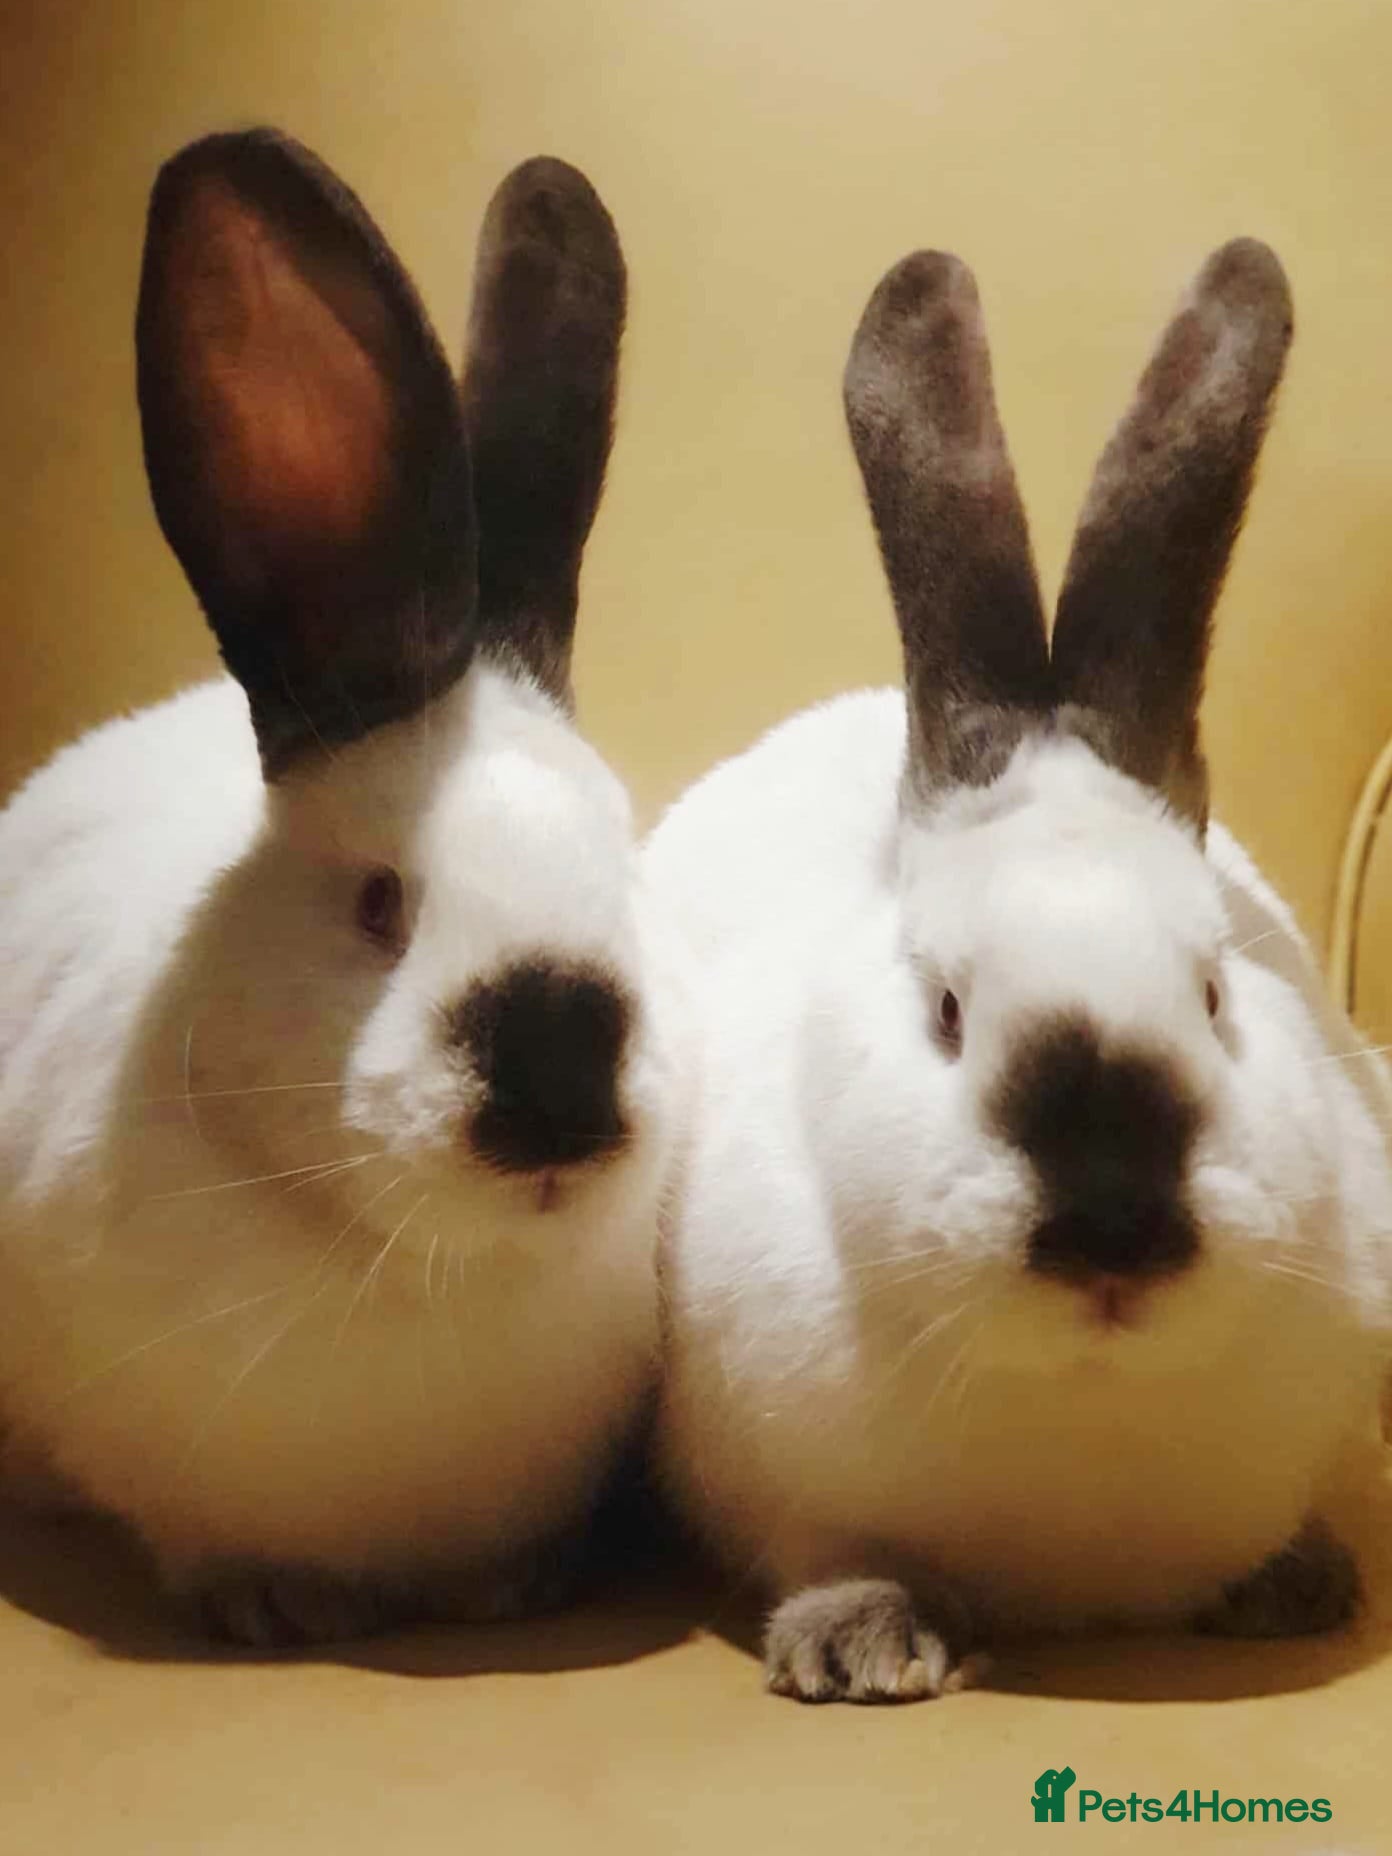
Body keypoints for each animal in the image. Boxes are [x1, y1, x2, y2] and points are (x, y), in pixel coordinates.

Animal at [646, 238, 1392, 1702]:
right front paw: (860, 1643)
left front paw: (1294, 1582)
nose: (1112, 1226)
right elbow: (834, 1552)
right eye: (945, 1009)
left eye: (1215, 992)